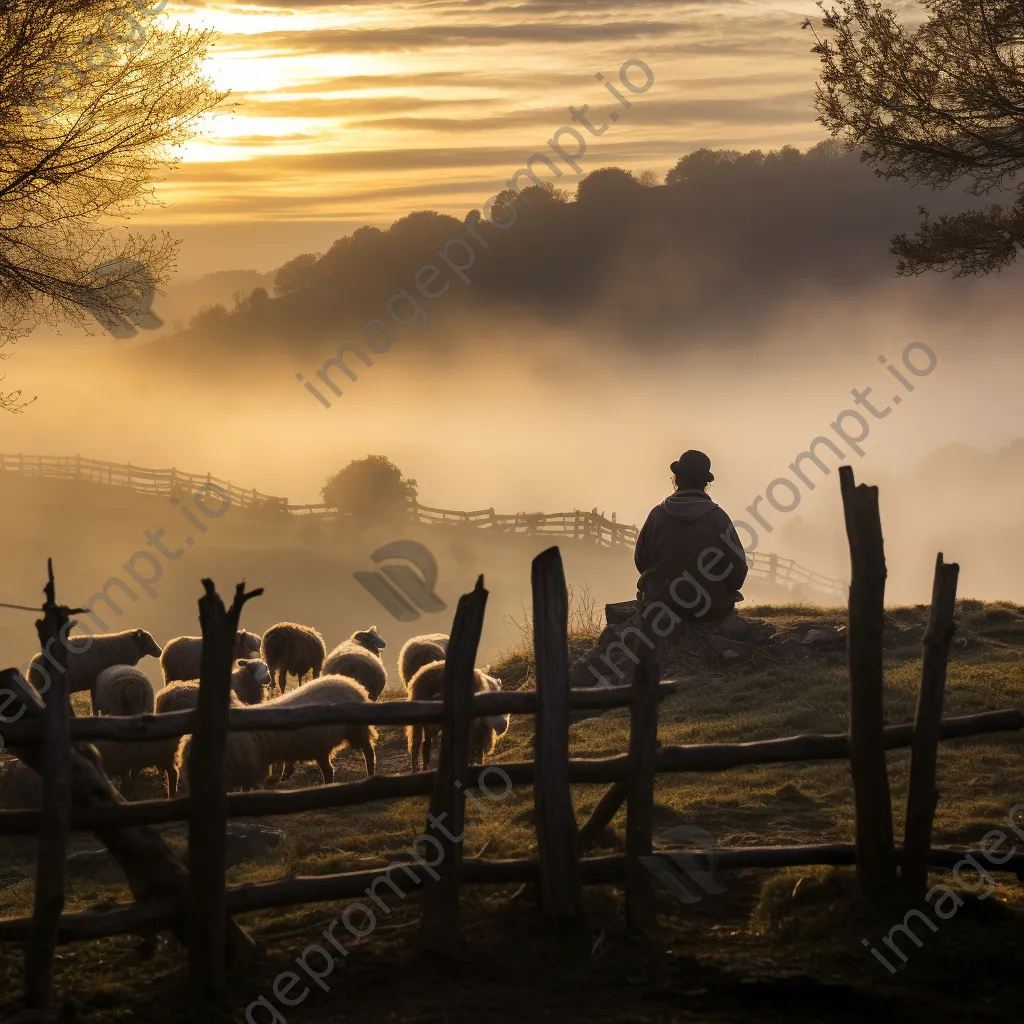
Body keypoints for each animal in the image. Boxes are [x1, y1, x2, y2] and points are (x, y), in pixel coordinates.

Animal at [178, 675, 378, 794]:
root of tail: (349, 682)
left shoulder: (246, 768)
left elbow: (245, 788)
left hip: (356, 729)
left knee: (368, 751)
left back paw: (371, 772)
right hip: (320, 744)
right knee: (328, 769)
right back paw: (328, 784)